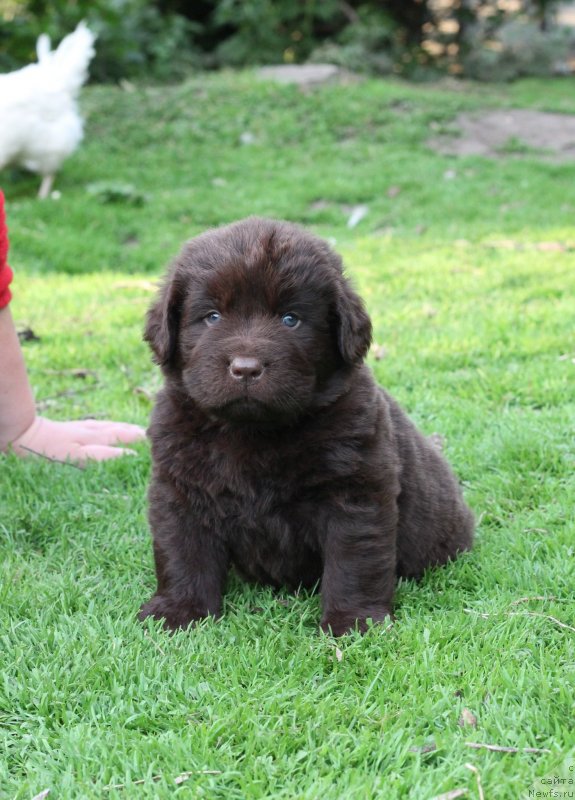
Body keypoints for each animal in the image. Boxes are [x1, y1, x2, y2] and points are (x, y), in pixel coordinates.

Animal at [140, 216, 472, 636]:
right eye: (212, 316)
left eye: (290, 319)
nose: (246, 368)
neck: (253, 432)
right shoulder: (181, 491)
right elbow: (183, 552)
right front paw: (179, 610)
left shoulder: (355, 495)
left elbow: (354, 563)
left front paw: (353, 621)